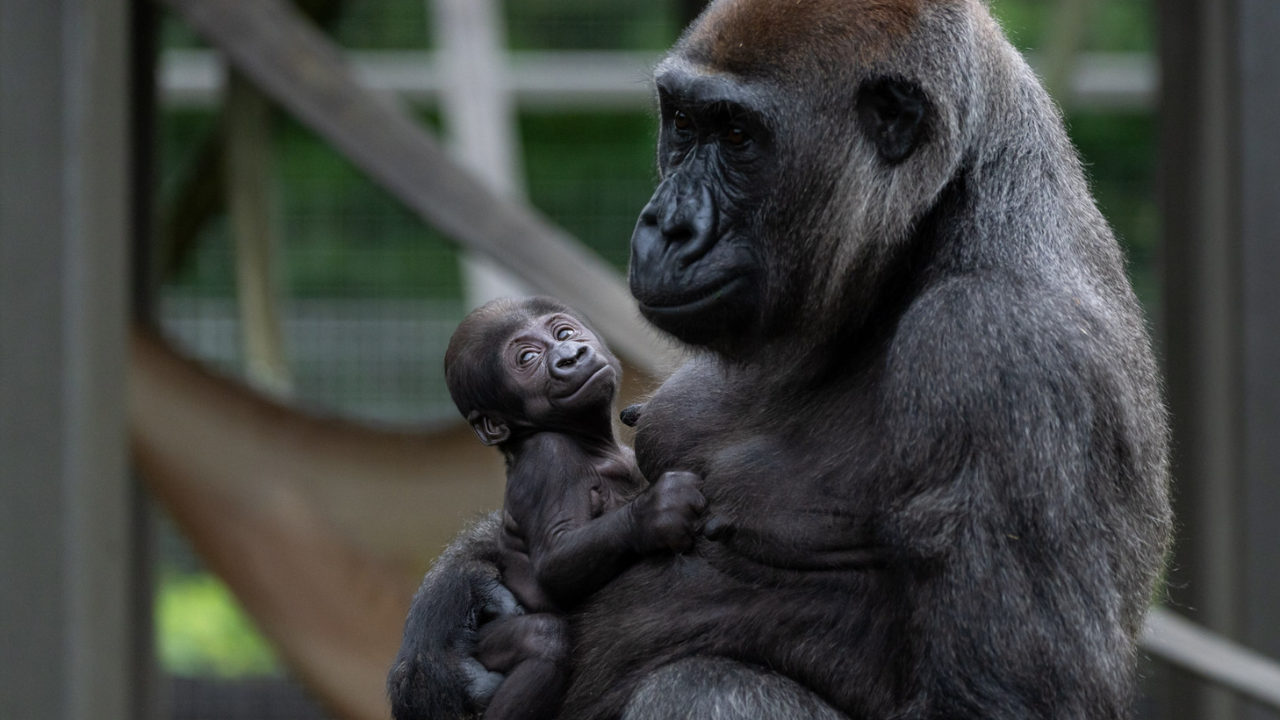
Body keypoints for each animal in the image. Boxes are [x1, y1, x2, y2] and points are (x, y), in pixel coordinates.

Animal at [389, 296, 707, 720]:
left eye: (564, 333)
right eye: (527, 358)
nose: (570, 356)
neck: (594, 443)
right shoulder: (549, 458)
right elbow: (556, 558)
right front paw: (657, 512)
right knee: (542, 639)